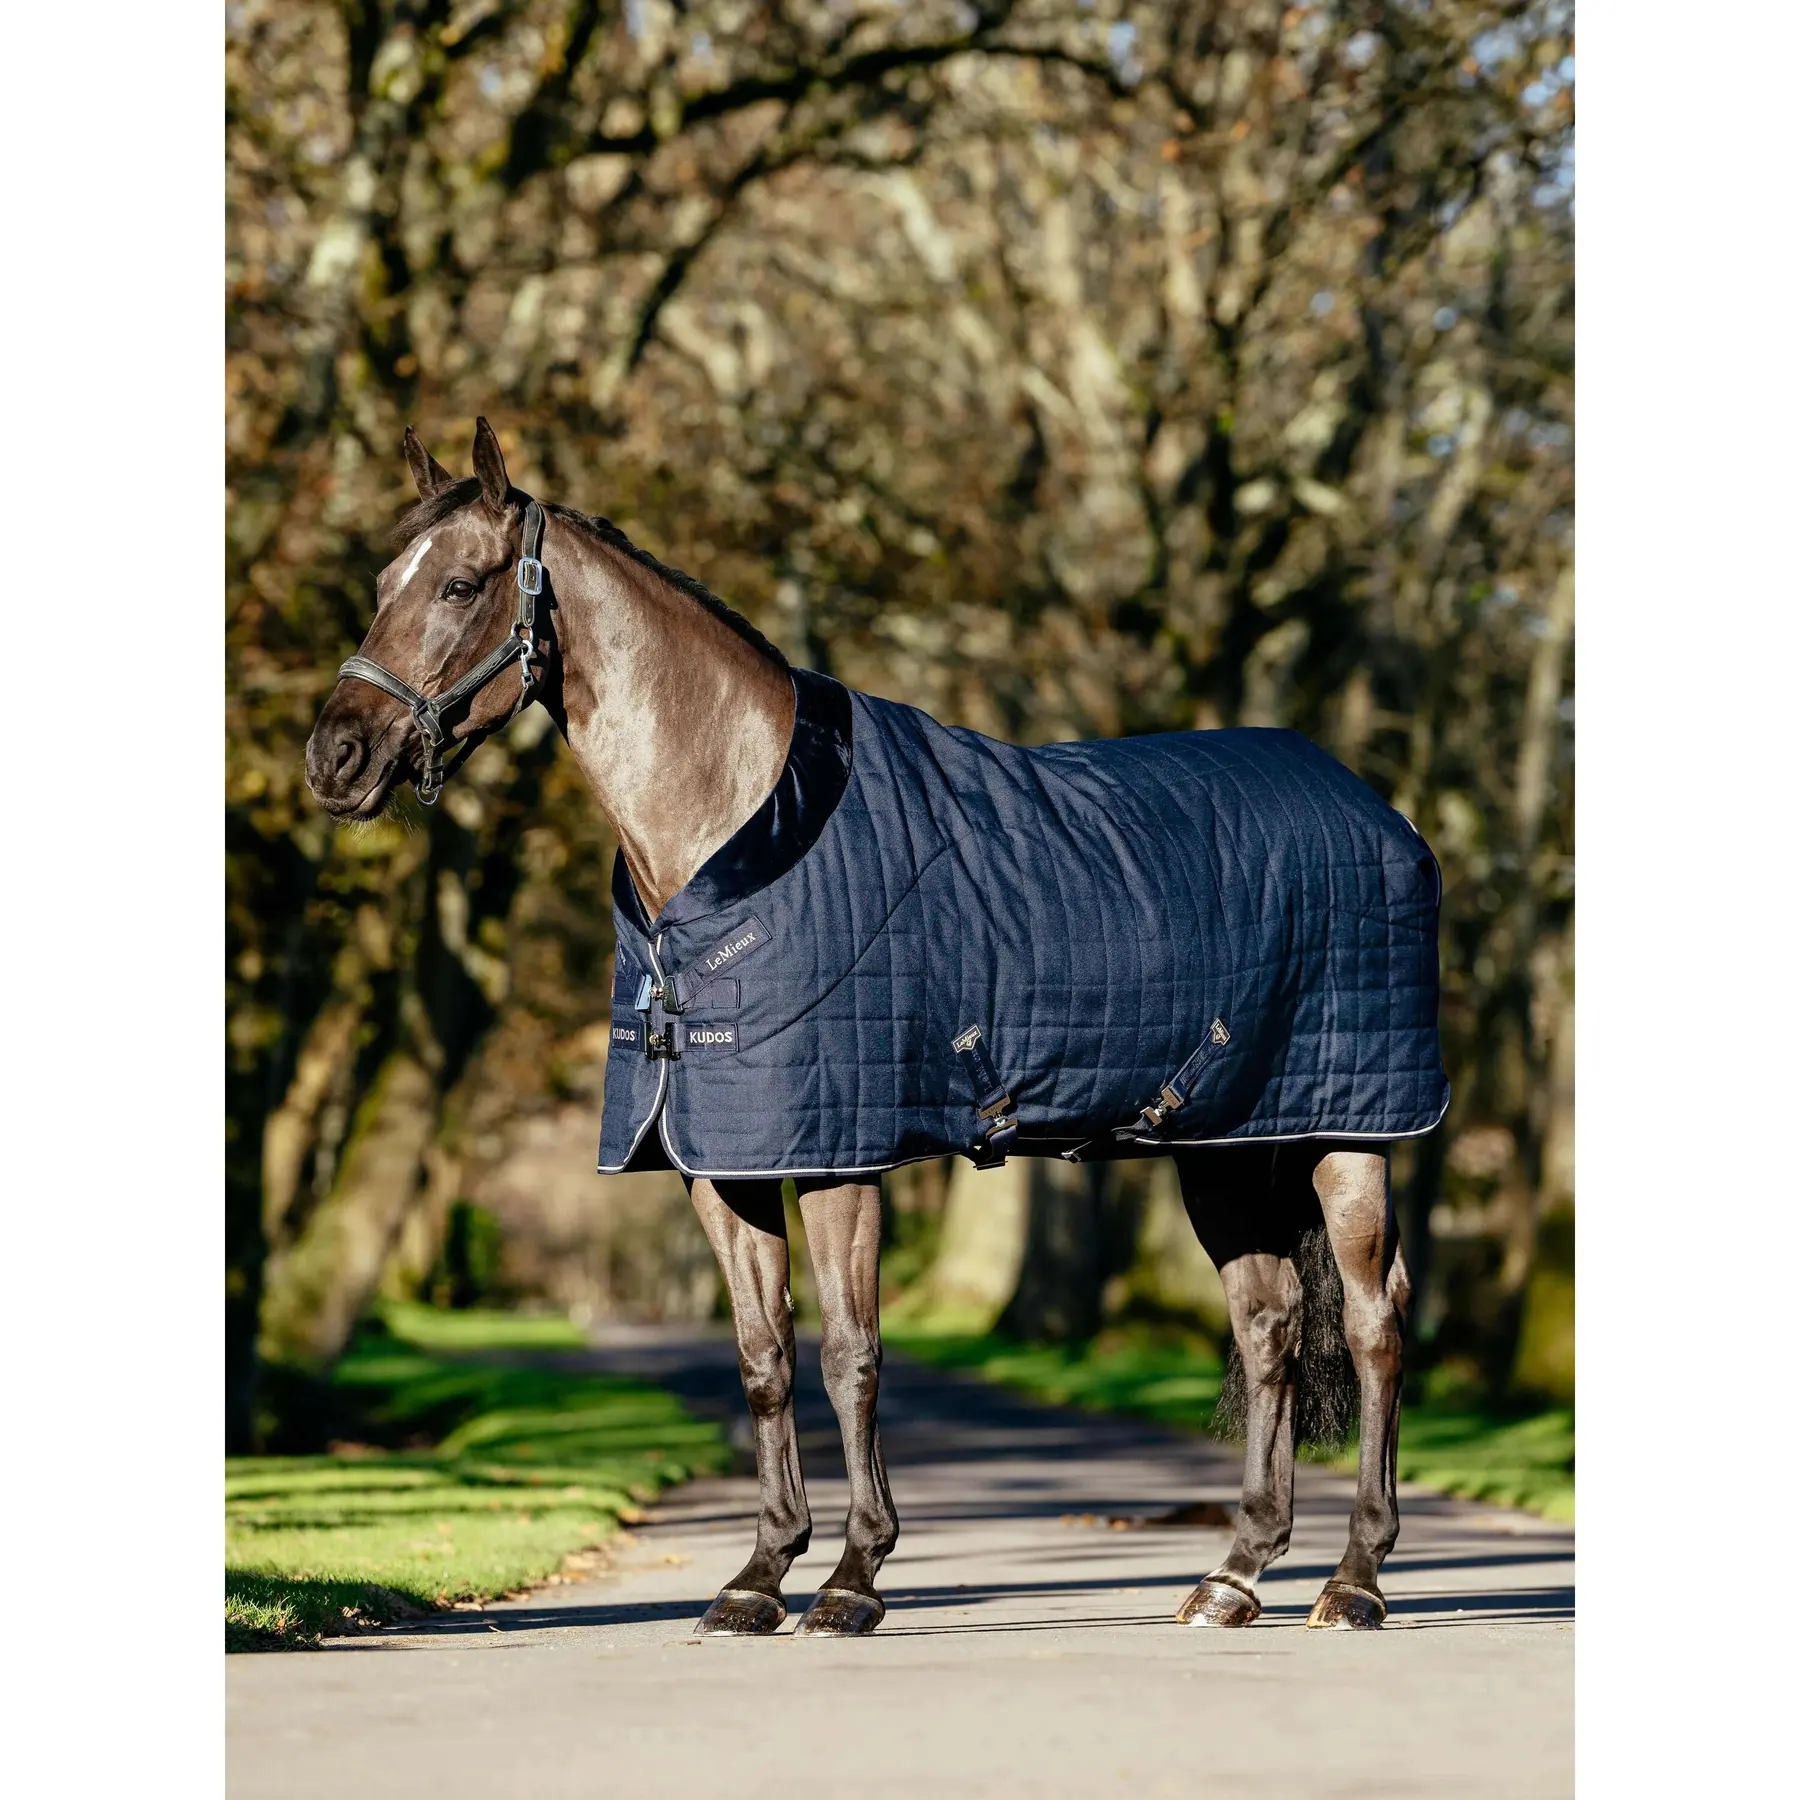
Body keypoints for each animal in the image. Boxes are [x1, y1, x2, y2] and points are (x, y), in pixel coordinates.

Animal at [306, 419, 1441, 1639]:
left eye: (459, 585)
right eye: (382, 582)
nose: (336, 757)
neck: (739, 831)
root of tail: (1371, 807)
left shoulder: (837, 1150)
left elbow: (851, 1352)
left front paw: (852, 1578)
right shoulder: (722, 1160)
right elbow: (763, 1355)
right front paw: (756, 1577)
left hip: (1349, 1135)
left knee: (1372, 1323)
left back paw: (1355, 1580)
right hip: (1224, 1145)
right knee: (1269, 1324)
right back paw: (1232, 1577)